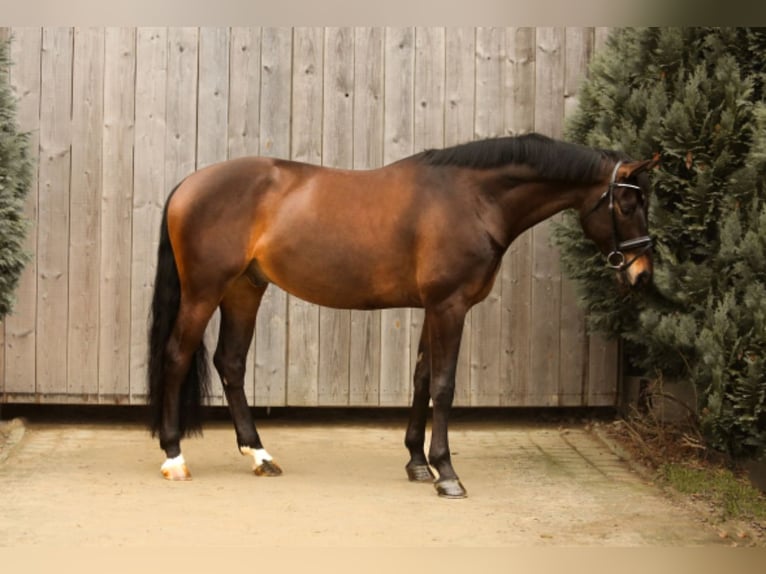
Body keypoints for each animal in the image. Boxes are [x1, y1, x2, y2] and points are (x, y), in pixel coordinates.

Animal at [150, 134, 660, 500]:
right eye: (628, 204)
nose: (641, 275)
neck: (471, 198)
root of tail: (187, 185)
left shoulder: (433, 308)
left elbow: (421, 379)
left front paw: (418, 462)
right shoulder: (449, 306)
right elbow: (444, 385)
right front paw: (447, 473)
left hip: (244, 289)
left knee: (231, 363)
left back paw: (259, 455)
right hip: (204, 291)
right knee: (176, 356)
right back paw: (174, 457)